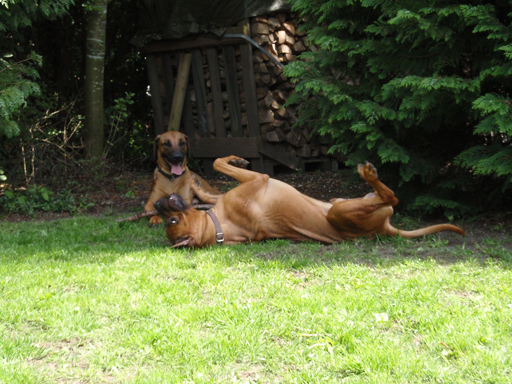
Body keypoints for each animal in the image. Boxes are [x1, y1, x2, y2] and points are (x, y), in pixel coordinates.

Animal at [154, 155, 466, 248]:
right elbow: (219, 164)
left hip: (340, 199)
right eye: (171, 221)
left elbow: (215, 175)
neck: (217, 226)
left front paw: (198, 185)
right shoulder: (261, 178)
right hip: (341, 210)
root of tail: (385, 229)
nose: (157, 206)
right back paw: (368, 173)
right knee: (392, 196)